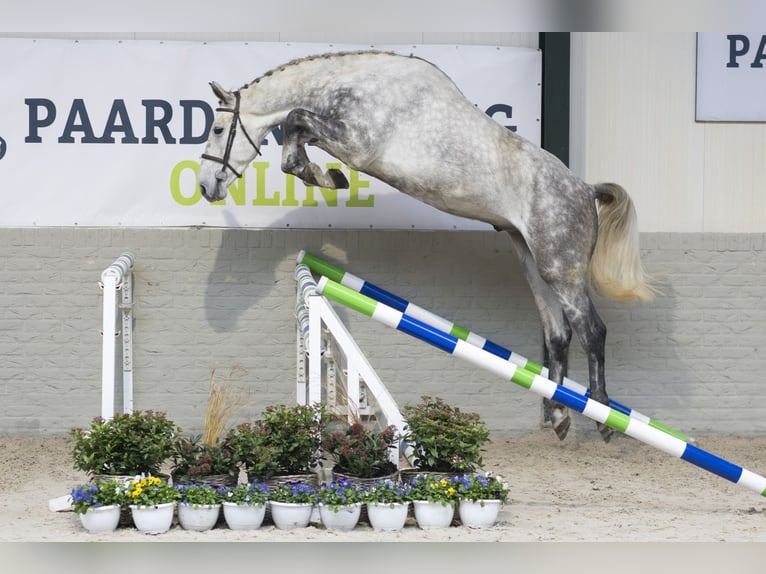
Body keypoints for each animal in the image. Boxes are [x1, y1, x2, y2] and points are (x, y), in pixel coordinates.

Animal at [200, 50, 660, 446]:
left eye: (219, 130)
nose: (206, 187)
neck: (352, 84)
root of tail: (585, 190)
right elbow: (297, 131)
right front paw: (320, 173)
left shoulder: (358, 143)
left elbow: (297, 119)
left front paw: (324, 175)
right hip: (531, 261)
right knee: (559, 334)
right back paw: (560, 417)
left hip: (560, 266)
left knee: (592, 331)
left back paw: (603, 419)